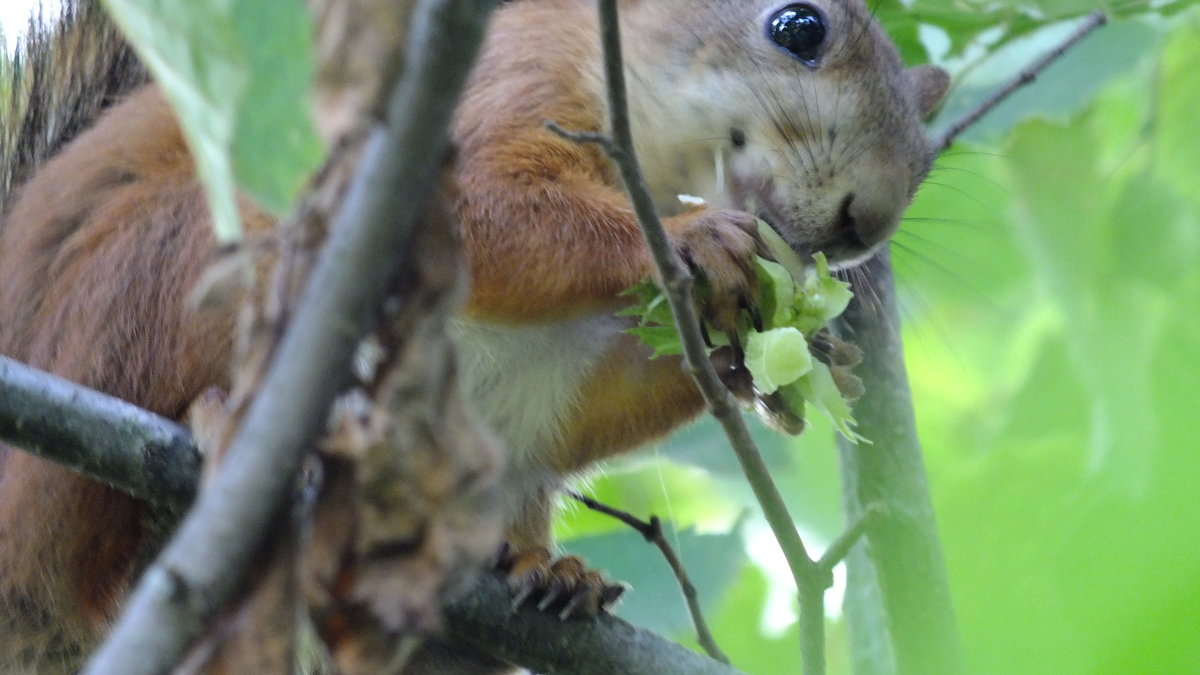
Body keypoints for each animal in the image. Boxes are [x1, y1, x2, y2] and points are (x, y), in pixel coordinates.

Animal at [0, 0, 945, 667]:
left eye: (929, 150)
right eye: (799, 27)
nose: (867, 222)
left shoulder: (555, 371)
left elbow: (592, 404)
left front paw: (790, 357)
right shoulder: (500, 88)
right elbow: (486, 208)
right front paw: (696, 242)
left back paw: (535, 574)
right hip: (174, 272)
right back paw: (229, 423)